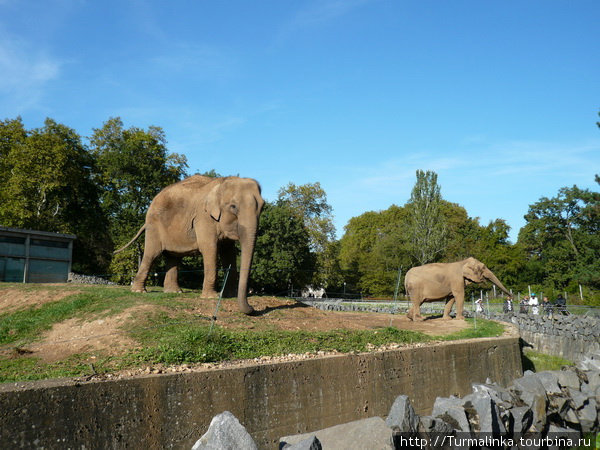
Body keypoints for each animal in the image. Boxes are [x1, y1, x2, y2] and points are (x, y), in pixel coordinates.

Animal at [113, 174, 264, 314]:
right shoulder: (204, 217)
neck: (222, 183)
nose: (252, 308)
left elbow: (229, 253)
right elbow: (210, 249)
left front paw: (230, 295)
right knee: (151, 255)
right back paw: (139, 291)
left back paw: (173, 292)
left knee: (173, 257)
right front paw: (211, 297)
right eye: (233, 207)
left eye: (263, 207)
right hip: (154, 226)